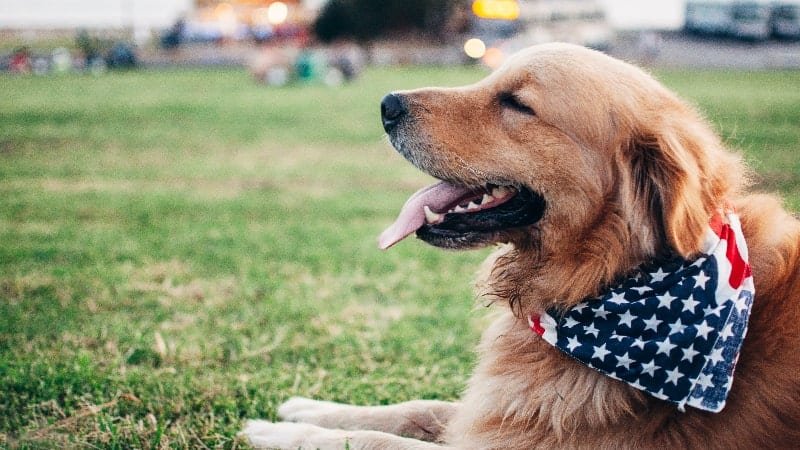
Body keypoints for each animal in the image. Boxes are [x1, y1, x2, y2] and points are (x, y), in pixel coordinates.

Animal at [242, 43, 800, 450]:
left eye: (517, 104)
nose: (386, 104)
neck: (604, 277)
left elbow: (372, 442)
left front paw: (279, 430)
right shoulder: (497, 412)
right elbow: (415, 408)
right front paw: (307, 408)